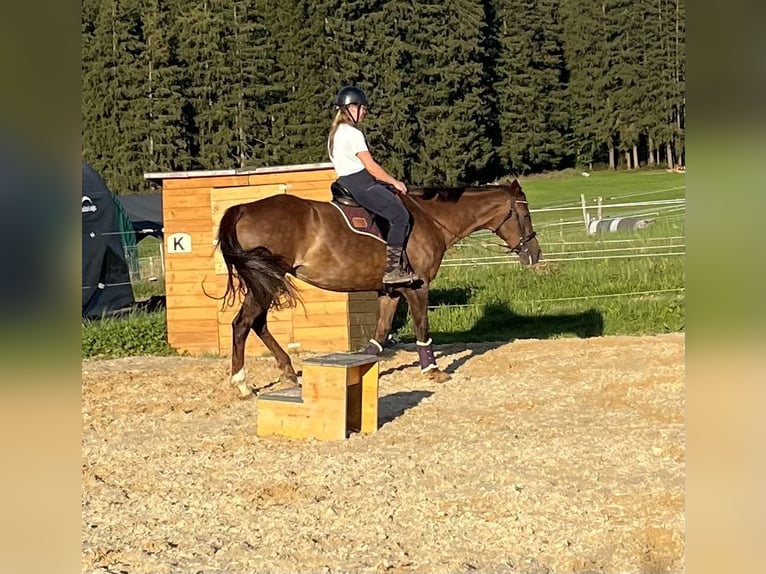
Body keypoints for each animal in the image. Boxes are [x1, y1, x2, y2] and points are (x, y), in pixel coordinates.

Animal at [216, 178, 540, 398]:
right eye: (525, 216)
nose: (535, 254)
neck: (430, 219)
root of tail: (243, 208)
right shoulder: (418, 287)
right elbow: (422, 327)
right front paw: (433, 370)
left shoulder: (390, 291)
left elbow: (380, 334)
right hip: (265, 281)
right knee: (243, 324)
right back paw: (242, 384)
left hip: (265, 281)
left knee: (257, 324)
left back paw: (286, 371)